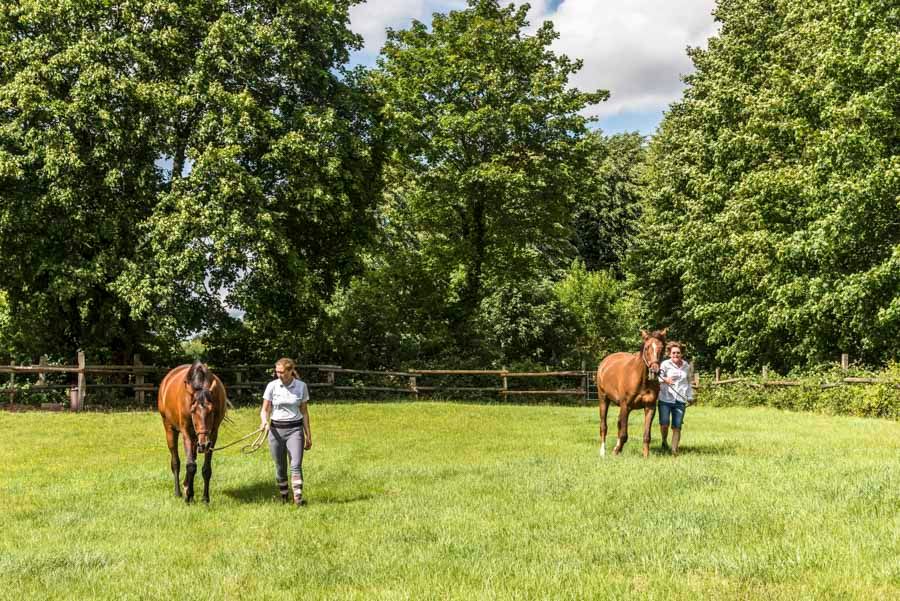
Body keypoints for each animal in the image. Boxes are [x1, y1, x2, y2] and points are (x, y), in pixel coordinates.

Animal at [158, 360, 229, 502]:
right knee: (176, 462)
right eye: (192, 410)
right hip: (170, 429)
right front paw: (189, 496)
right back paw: (179, 492)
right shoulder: (186, 433)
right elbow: (190, 465)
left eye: (211, 410)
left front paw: (205, 498)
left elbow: (206, 469)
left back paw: (186, 485)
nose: (204, 444)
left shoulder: (212, 435)